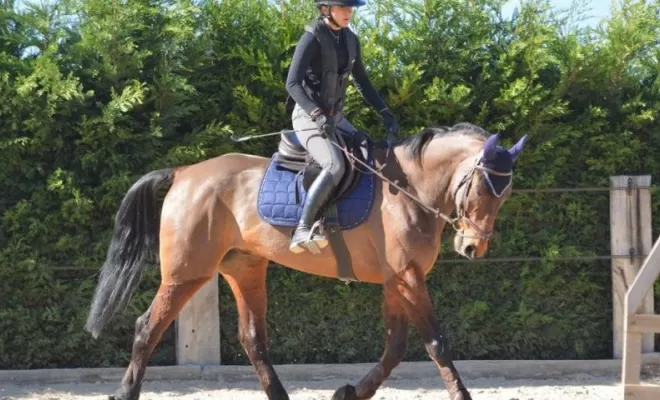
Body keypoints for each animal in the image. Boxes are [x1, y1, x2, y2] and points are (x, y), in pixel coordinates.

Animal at [84, 122, 524, 400]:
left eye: (504, 194)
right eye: (483, 188)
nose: (473, 248)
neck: (408, 188)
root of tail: (185, 172)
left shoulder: (396, 279)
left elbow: (395, 346)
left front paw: (350, 392)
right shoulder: (406, 277)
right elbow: (436, 343)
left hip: (245, 269)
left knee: (253, 339)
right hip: (187, 273)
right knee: (147, 327)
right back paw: (124, 392)